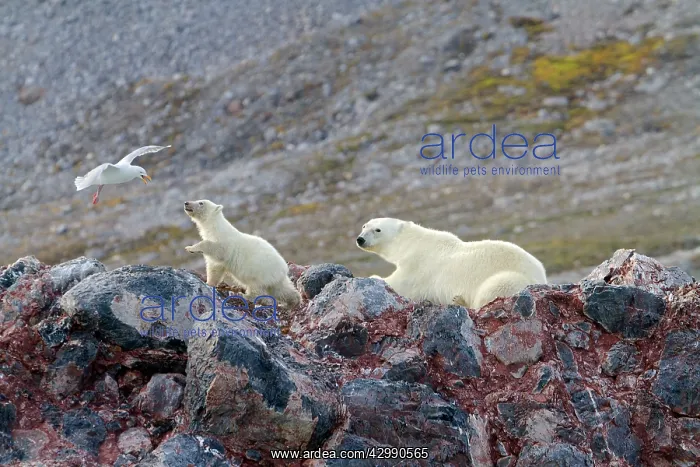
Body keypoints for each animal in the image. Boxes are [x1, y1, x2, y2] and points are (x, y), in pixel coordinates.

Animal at [356, 217, 547, 309]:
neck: (413, 242)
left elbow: (401, 284)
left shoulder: (418, 266)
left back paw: (460, 301)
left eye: (378, 230)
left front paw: (374, 277)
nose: (360, 239)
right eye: (364, 226)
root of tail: (542, 277)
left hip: (511, 280)